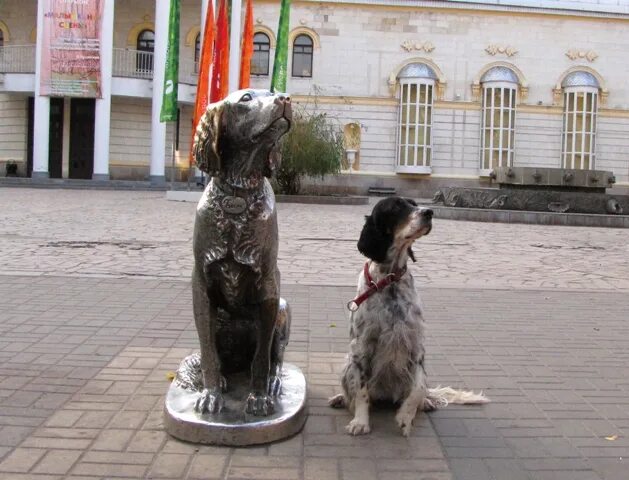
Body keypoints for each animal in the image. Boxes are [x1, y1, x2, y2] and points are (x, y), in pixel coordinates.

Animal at [328, 197, 486, 436]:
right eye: (396, 207)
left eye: (414, 203)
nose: (429, 212)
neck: (390, 279)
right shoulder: (361, 347)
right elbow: (361, 391)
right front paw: (361, 421)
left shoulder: (416, 345)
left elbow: (418, 388)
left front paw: (405, 416)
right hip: (348, 364)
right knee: (353, 392)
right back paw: (341, 399)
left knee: (423, 392)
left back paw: (427, 403)